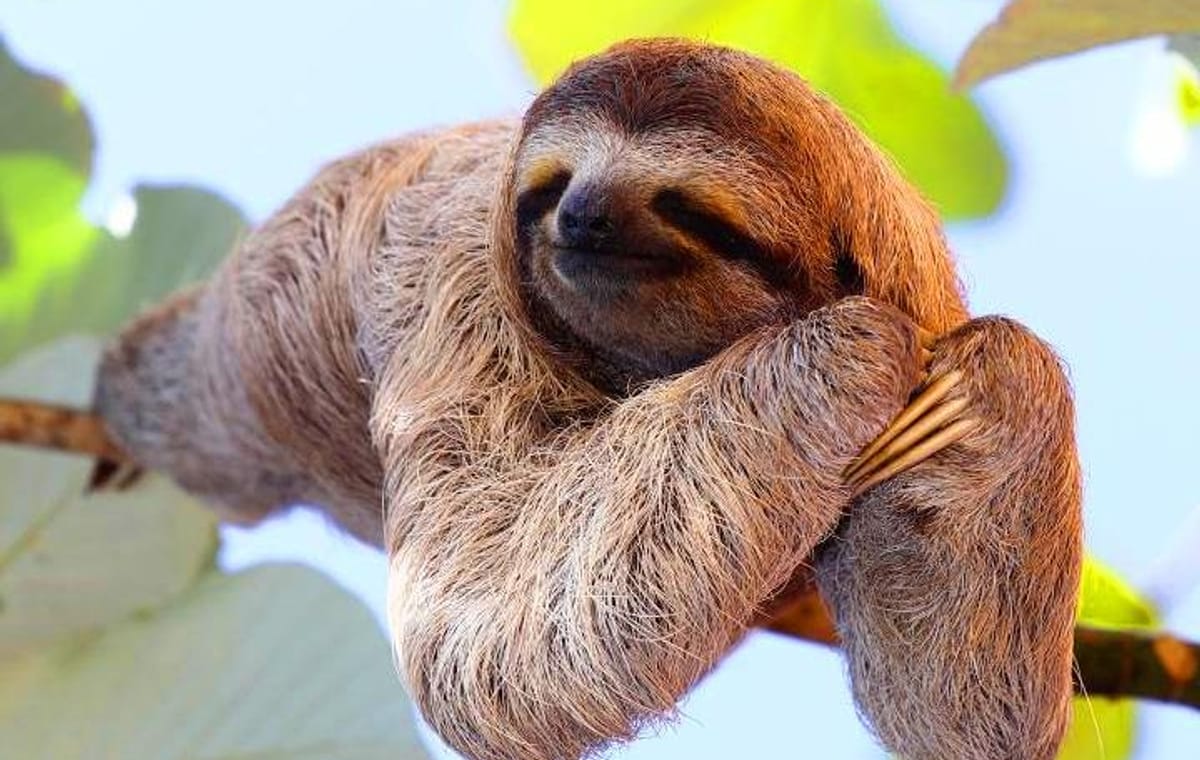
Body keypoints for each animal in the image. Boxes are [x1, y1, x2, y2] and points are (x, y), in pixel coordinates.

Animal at [88, 39, 1082, 760]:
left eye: (685, 205)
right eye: (552, 185)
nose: (583, 216)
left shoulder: (920, 290)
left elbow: (956, 710)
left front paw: (992, 395)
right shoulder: (459, 297)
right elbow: (486, 615)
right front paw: (836, 355)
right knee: (202, 398)